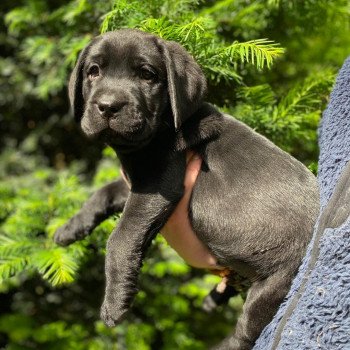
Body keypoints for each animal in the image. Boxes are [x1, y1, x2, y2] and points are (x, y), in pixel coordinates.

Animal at [54, 28, 320, 348]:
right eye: (93, 71)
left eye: (147, 74)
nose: (107, 106)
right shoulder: (138, 180)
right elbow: (105, 191)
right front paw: (71, 227)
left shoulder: (158, 183)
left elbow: (121, 237)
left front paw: (115, 302)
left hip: (275, 283)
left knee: (248, 331)